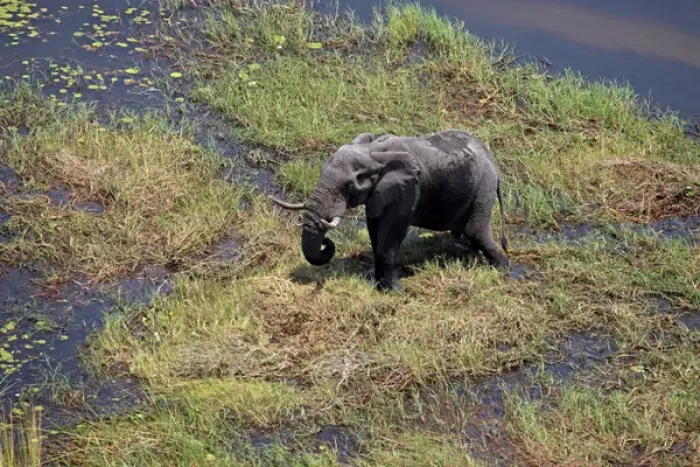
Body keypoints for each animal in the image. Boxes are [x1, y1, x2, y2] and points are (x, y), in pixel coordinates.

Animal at [270, 129, 509, 291]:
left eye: (349, 185)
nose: (326, 243)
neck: (372, 151)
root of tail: (492, 159)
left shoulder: (409, 188)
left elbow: (391, 233)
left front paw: (389, 290)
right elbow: (375, 230)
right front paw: (376, 284)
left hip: (484, 186)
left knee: (476, 231)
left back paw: (503, 268)